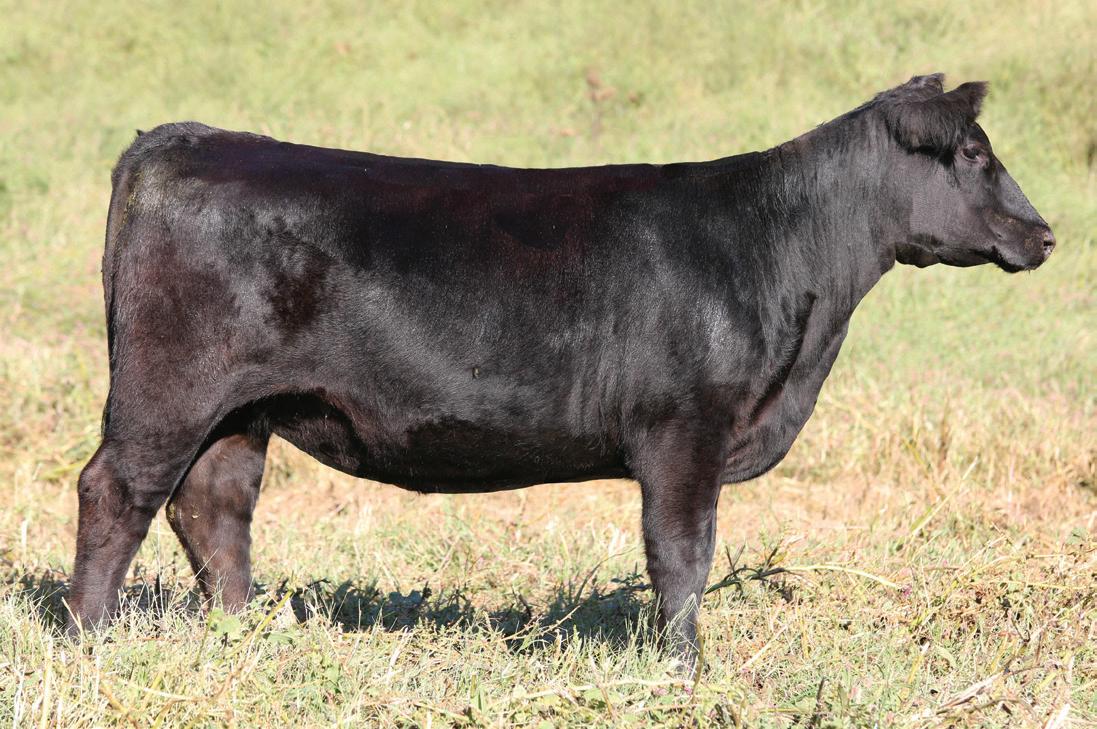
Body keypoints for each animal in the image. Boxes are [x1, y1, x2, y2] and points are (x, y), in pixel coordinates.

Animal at [67, 74, 1054, 664]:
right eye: (973, 154)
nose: (1042, 234)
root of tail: (186, 138)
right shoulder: (683, 432)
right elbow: (681, 557)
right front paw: (685, 669)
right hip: (169, 387)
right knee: (117, 490)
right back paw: (89, 637)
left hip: (243, 406)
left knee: (214, 505)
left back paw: (242, 635)